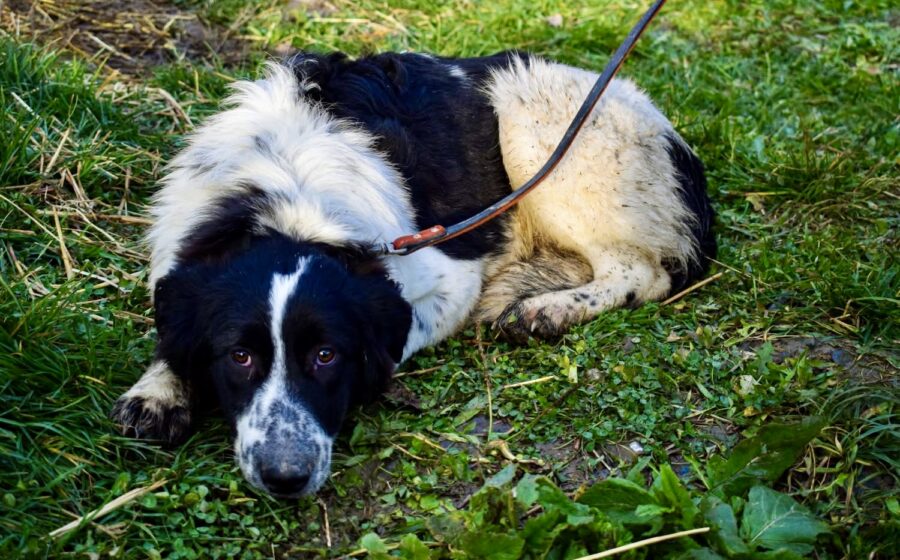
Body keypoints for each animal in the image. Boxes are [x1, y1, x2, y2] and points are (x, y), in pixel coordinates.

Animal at [112, 51, 715, 498]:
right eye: (240, 356)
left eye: (326, 356)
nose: (286, 477)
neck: (285, 202)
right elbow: (174, 330)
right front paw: (160, 390)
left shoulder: (448, 279)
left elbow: (393, 340)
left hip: (540, 133)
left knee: (640, 271)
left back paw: (549, 308)